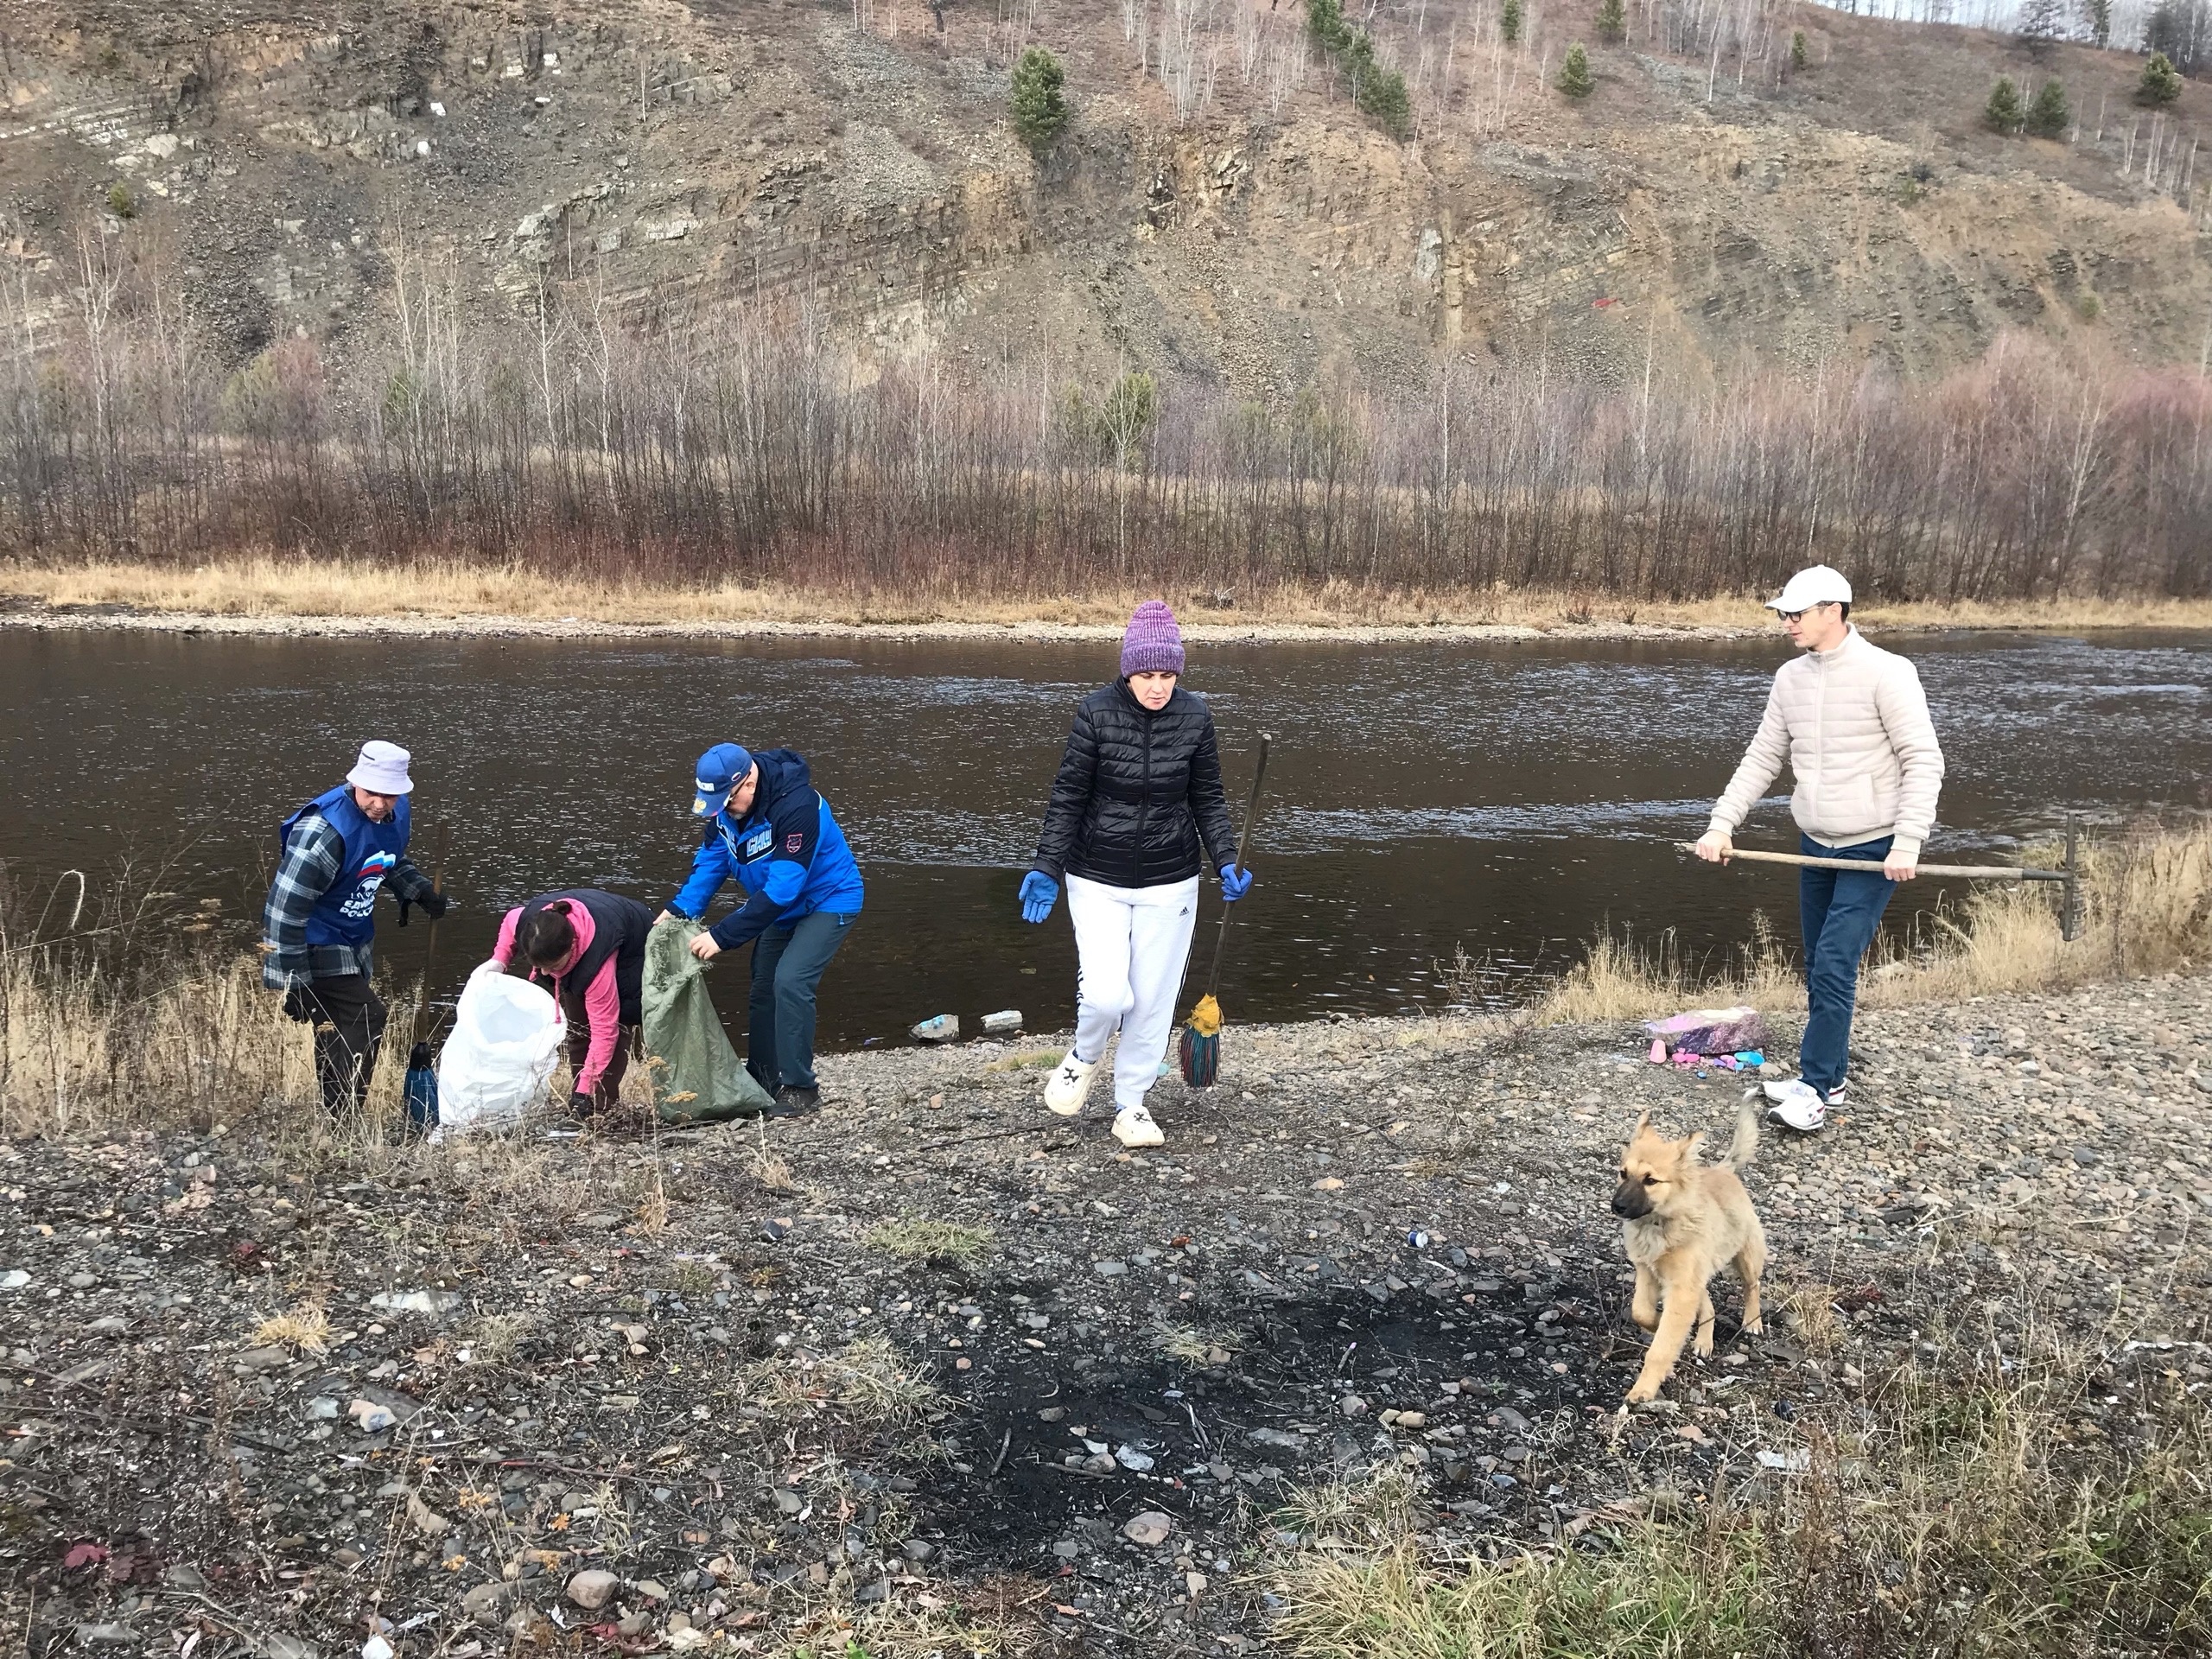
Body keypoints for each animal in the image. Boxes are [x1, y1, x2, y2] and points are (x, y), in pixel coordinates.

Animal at [1610, 1106, 1760, 1407]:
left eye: (1650, 1180)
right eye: (1623, 1173)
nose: (1617, 1206)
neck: (1659, 1224)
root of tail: (1723, 1170)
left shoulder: (1681, 1288)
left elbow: (1661, 1347)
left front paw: (1644, 1389)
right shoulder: (1649, 1273)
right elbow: (1642, 1312)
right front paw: (1657, 1324)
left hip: (1746, 1256)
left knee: (1753, 1286)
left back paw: (1754, 1321)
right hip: (1697, 1274)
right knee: (1709, 1306)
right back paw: (1703, 1340)